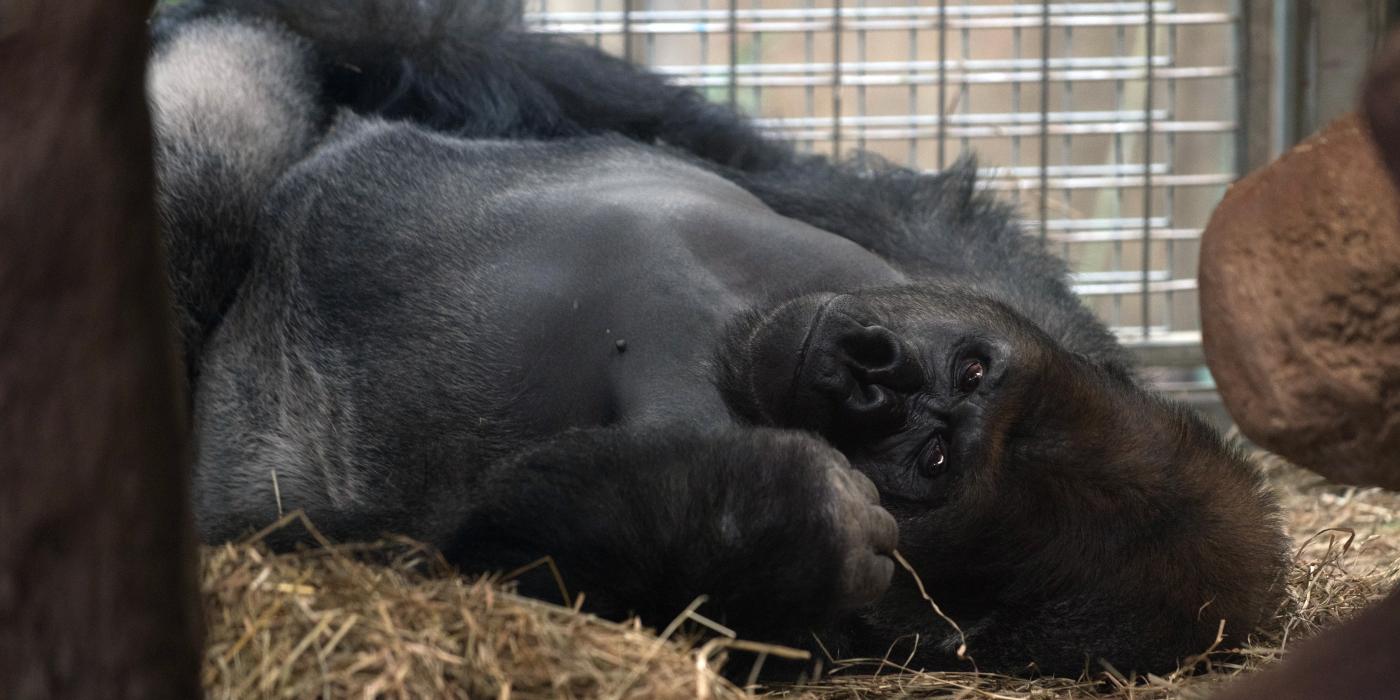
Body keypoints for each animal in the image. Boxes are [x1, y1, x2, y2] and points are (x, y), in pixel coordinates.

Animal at [150, 0, 1288, 677]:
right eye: (968, 365)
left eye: (932, 458)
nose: (873, 376)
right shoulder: (961, 274)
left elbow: (491, 549)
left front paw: (779, 514)